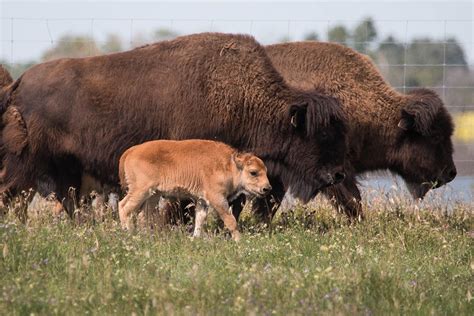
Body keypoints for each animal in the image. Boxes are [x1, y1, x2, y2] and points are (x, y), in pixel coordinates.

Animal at [0, 32, 348, 215]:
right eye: (320, 134)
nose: (338, 173)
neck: (244, 96)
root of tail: (19, 84)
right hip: (27, 165)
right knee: (12, 195)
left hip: (66, 171)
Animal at [117, 139, 270, 241]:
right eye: (253, 172)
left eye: (266, 171)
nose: (267, 188)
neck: (229, 165)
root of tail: (131, 151)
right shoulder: (217, 198)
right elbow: (230, 220)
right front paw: (239, 240)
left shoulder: (202, 200)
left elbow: (200, 219)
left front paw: (196, 238)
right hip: (141, 190)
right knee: (124, 207)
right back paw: (129, 233)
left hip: (153, 194)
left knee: (143, 214)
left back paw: (146, 236)